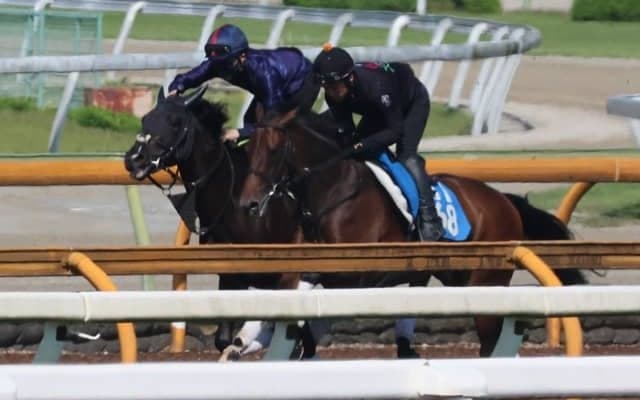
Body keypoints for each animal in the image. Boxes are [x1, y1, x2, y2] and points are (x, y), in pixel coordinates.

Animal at [239, 107, 586, 357]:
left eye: (274, 150)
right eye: (248, 148)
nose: (249, 203)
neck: (334, 192)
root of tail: (503, 200)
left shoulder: (356, 276)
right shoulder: (304, 266)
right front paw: (247, 339)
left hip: (486, 283)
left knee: (491, 342)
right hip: (457, 279)